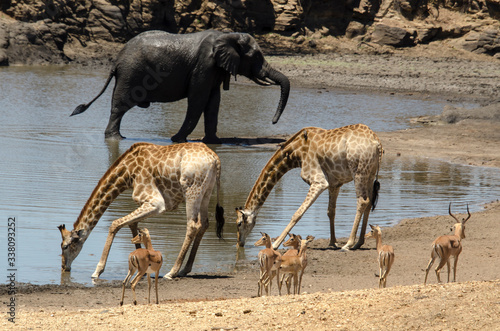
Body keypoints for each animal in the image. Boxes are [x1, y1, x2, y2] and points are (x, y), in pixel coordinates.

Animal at [56, 143, 225, 280]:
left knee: (192, 225)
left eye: (64, 246)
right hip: (206, 192)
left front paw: (97, 271)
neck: (127, 174)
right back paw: (185, 270)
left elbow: (115, 224)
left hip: (191, 190)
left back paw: (172, 272)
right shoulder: (149, 204)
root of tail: (216, 160)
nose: (64, 268)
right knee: (204, 224)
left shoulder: (156, 203)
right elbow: (133, 225)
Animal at [70, 28, 290, 143]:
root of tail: (116, 59)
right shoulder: (204, 65)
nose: (273, 122)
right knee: (120, 105)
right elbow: (198, 100)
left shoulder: (214, 69)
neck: (227, 35)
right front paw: (177, 140)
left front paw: (214, 143)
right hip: (131, 73)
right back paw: (117, 139)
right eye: (256, 57)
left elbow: (213, 102)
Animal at [234, 124, 382, 252]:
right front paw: (332, 242)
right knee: (369, 202)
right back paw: (359, 243)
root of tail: (377, 143)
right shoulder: (334, 183)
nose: (239, 244)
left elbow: (297, 213)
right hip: (370, 173)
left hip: (359, 172)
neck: (296, 153)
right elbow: (330, 212)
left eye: (239, 223)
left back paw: (348, 244)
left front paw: (275, 244)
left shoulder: (319, 182)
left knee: (362, 201)